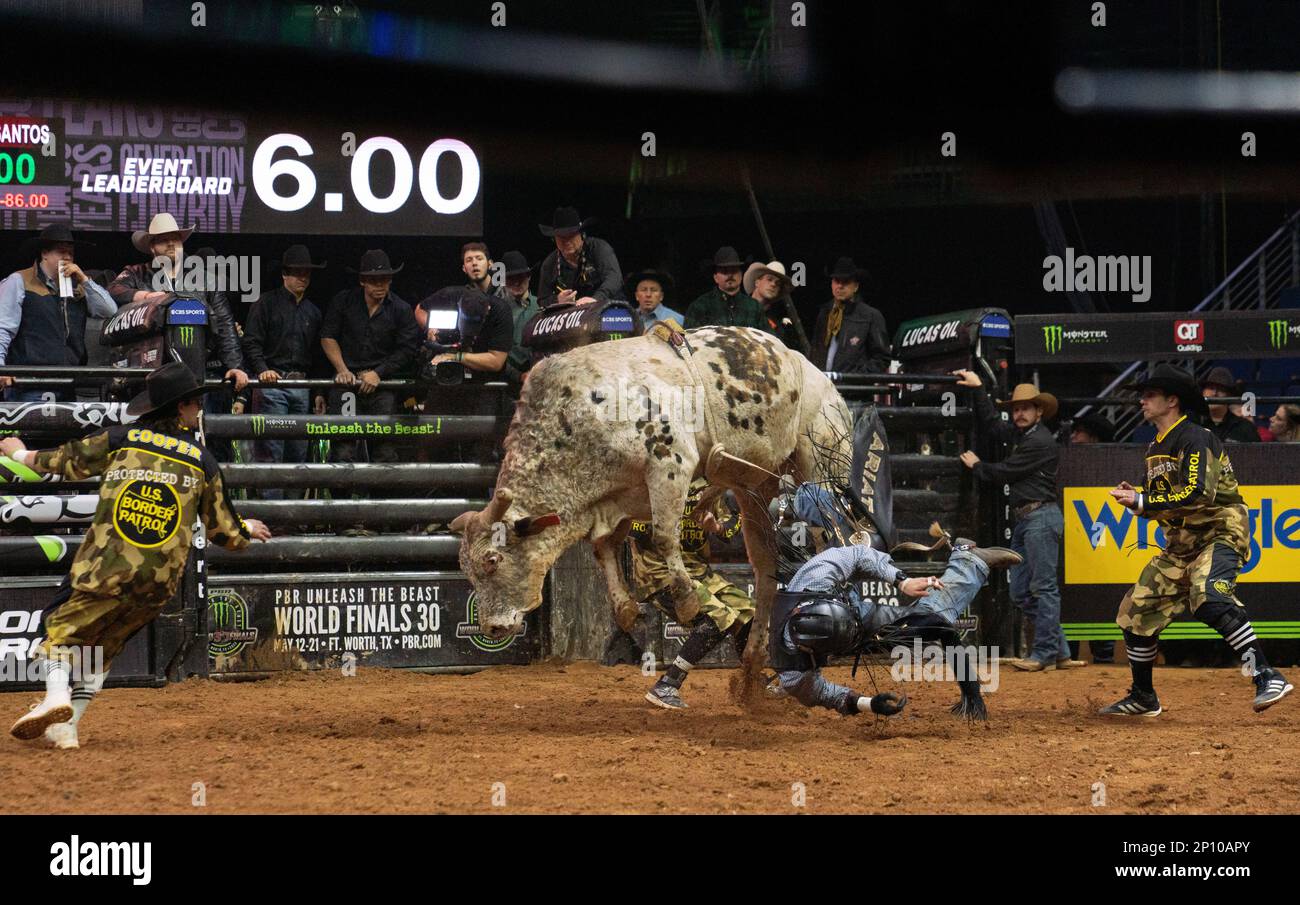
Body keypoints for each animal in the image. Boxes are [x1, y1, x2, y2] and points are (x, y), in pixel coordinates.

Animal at [452, 326, 857, 702]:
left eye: (492, 560)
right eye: (467, 570)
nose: (491, 628)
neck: (578, 417)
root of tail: (819, 376)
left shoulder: (670, 464)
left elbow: (663, 536)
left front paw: (687, 599)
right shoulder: (620, 497)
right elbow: (605, 547)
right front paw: (626, 608)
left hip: (821, 461)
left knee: (840, 538)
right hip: (754, 485)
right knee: (766, 568)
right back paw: (754, 668)